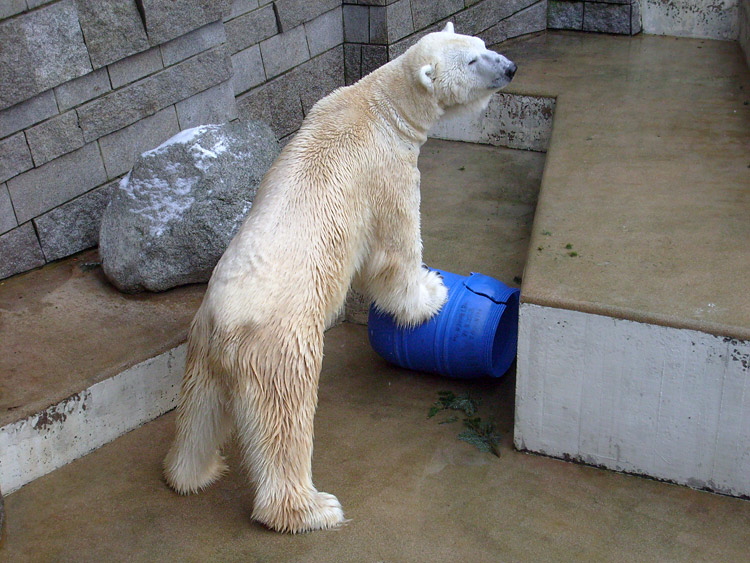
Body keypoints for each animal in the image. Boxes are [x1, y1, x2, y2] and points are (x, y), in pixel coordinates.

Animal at [164, 22, 516, 532]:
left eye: (482, 46)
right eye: (471, 61)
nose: (510, 67)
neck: (379, 105)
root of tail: (225, 328)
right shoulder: (388, 173)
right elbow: (394, 251)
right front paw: (430, 293)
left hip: (202, 350)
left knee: (199, 411)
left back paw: (192, 472)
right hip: (279, 350)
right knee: (284, 421)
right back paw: (311, 508)